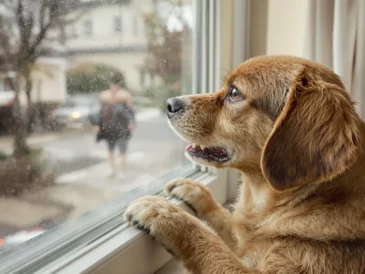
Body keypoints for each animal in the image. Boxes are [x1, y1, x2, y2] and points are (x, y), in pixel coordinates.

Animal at [124, 56, 364, 274]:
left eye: (234, 93)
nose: (170, 104)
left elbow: (208, 240)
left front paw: (166, 213)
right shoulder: (243, 239)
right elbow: (225, 219)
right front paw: (194, 190)